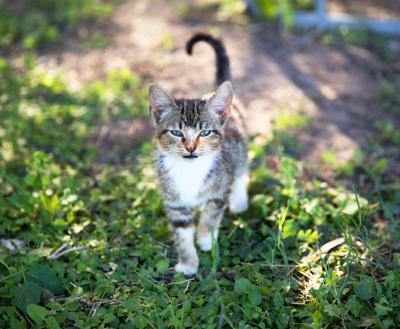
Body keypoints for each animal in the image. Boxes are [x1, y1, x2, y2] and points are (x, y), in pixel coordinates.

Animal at [148, 33, 248, 274]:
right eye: (176, 132)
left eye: (205, 132)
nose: (191, 147)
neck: (189, 171)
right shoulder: (174, 203)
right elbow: (182, 234)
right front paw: (188, 263)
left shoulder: (220, 190)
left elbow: (210, 214)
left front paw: (205, 238)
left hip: (239, 149)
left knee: (242, 170)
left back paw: (239, 200)